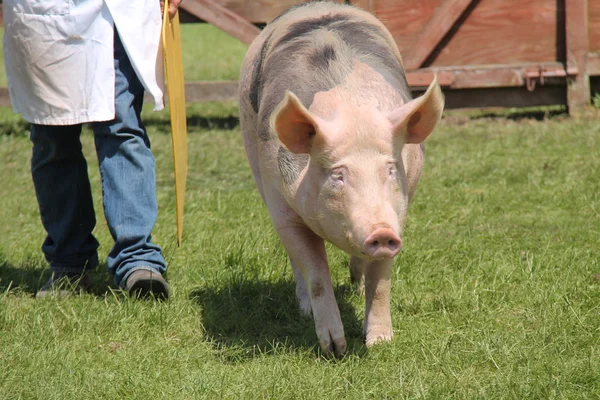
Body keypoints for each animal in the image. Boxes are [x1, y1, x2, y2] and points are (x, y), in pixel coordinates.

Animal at [237, 1, 442, 358]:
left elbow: (381, 282)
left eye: (390, 169)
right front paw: (335, 349)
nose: (381, 233)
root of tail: (317, 5)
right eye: (338, 174)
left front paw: (380, 343)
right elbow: (316, 275)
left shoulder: (400, 212)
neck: (352, 109)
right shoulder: (282, 206)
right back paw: (305, 309)